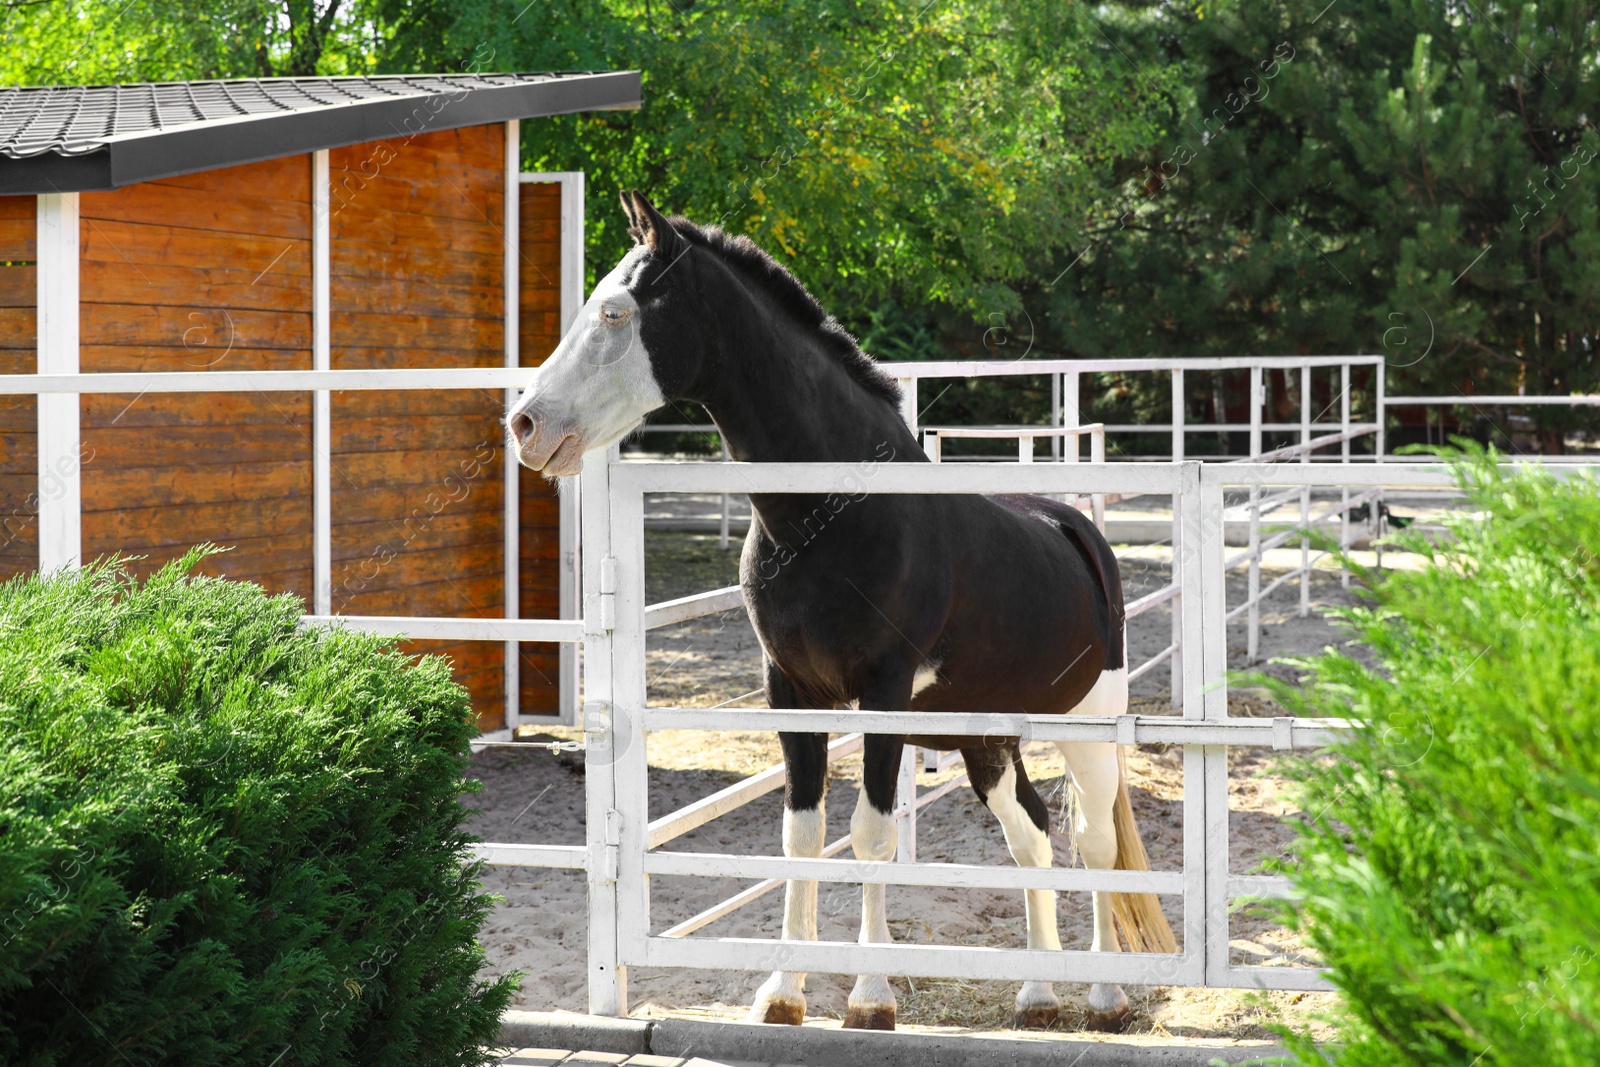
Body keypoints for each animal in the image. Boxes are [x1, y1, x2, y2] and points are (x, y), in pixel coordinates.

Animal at [508, 187, 1177, 1030]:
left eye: (618, 312)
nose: (527, 424)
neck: (832, 513)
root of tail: (1078, 530)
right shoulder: (790, 691)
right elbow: (803, 832)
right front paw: (782, 993)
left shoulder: (884, 694)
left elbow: (871, 833)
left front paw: (869, 997)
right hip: (987, 735)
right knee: (1031, 830)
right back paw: (1035, 990)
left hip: (1089, 728)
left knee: (1094, 839)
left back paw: (1104, 992)